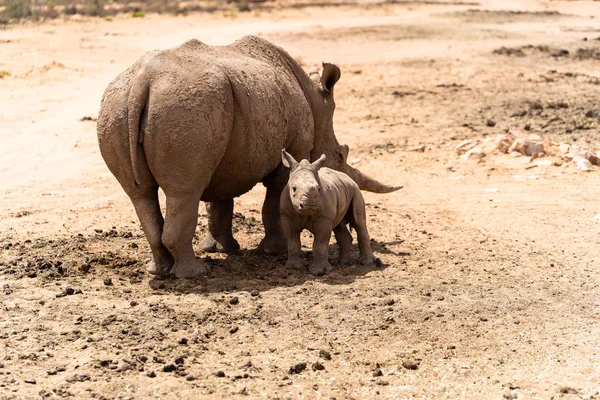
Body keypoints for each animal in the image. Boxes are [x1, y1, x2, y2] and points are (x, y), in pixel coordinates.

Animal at [97, 36, 398, 278]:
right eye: (339, 156)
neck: (315, 103)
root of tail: (143, 80)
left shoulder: (225, 153)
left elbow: (219, 201)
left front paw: (223, 248)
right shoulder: (292, 153)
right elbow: (273, 201)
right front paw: (274, 252)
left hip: (122, 105)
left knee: (142, 195)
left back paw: (159, 270)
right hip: (183, 108)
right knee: (183, 192)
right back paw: (195, 274)